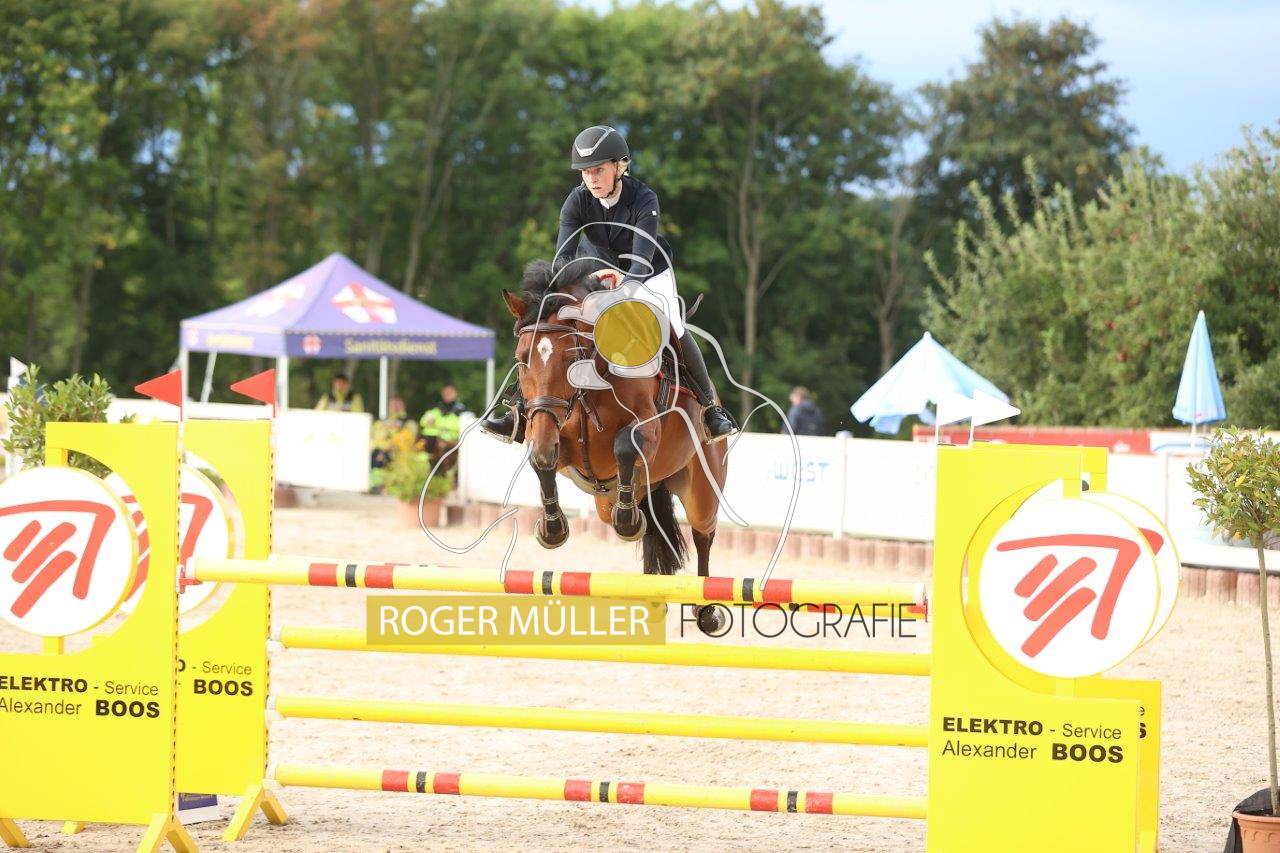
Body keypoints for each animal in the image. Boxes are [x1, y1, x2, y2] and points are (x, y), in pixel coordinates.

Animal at [501, 260, 730, 633]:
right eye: (521, 359)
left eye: (568, 359)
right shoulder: (552, 435)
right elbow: (542, 463)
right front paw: (553, 529)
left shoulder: (647, 428)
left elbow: (625, 445)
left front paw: (627, 522)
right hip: (611, 499)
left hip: (702, 488)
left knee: (703, 534)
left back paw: (706, 612)